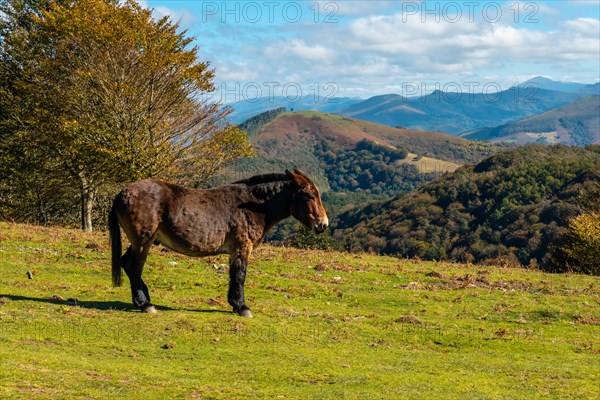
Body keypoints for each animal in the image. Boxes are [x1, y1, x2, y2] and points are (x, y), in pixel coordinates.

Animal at [110, 167, 330, 318]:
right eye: (310, 195)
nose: (323, 225)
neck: (253, 206)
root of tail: (122, 193)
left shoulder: (236, 250)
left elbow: (234, 275)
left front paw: (235, 304)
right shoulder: (242, 247)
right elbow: (240, 276)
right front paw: (242, 307)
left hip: (140, 242)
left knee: (126, 264)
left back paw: (144, 299)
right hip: (143, 241)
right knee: (134, 266)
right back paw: (145, 304)